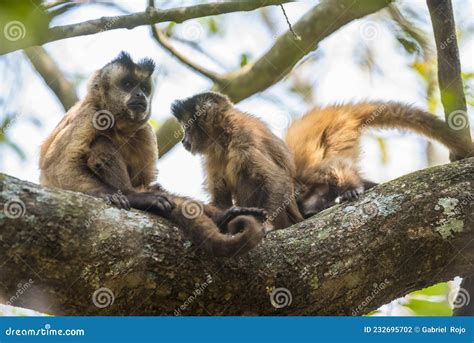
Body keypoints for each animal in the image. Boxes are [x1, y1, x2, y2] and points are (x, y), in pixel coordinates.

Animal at [170, 91, 304, 231]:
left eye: (187, 129)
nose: (183, 140)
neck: (224, 136)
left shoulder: (243, 137)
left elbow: (277, 179)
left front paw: (267, 224)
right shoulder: (212, 156)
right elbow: (221, 200)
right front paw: (226, 216)